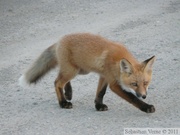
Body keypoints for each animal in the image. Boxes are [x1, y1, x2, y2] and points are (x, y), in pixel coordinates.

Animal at [18, 33, 156, 113]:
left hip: (80, 70)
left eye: (145, 83)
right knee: (57, 82)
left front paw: (98, 106)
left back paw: (68, 93)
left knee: (61, 78)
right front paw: (146, 107)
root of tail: (59, 40)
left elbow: (100, 92)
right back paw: (63, 103)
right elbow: (132, 97)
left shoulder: (104, 76)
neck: (117, 61)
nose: (144, 96)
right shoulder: (113, 83)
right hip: (73, 70)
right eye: (134, 84)